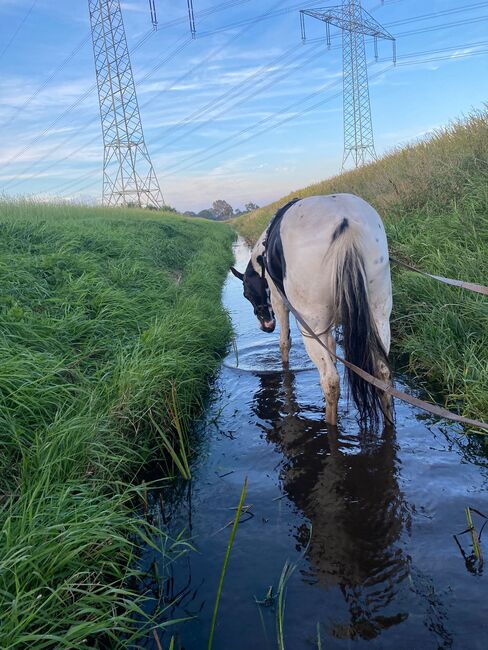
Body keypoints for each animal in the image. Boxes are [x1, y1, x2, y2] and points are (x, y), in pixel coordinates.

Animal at [231, 191, 394, 426]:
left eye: (247, 294)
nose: (266, 326)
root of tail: (344, 223)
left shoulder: (280, 304)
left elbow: (284, 343)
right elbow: (333, 350)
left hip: (310, 328)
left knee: (330, 381)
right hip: (378, 318)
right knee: (382, 374)